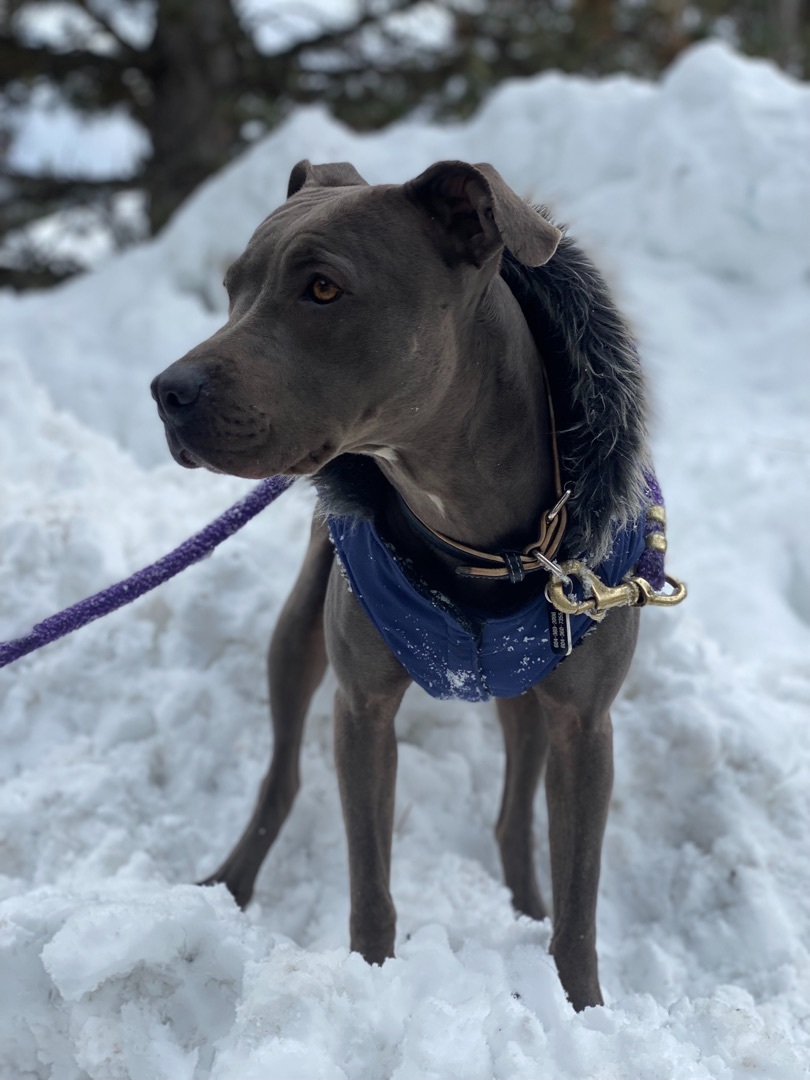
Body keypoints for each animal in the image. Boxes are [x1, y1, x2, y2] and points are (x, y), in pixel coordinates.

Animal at [151, 159, 665, 1010]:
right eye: (233, 288)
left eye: (323, 288)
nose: (167, 391)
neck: (477, 533)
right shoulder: (361, 707)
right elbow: (371, 885)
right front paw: (371, 984)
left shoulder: (585, 723)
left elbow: (580, 901)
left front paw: (582, 1010)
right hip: (298, 634)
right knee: (281, 776)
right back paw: (228, 884)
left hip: (528, 692)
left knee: (515, 815)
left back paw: (524, 907)